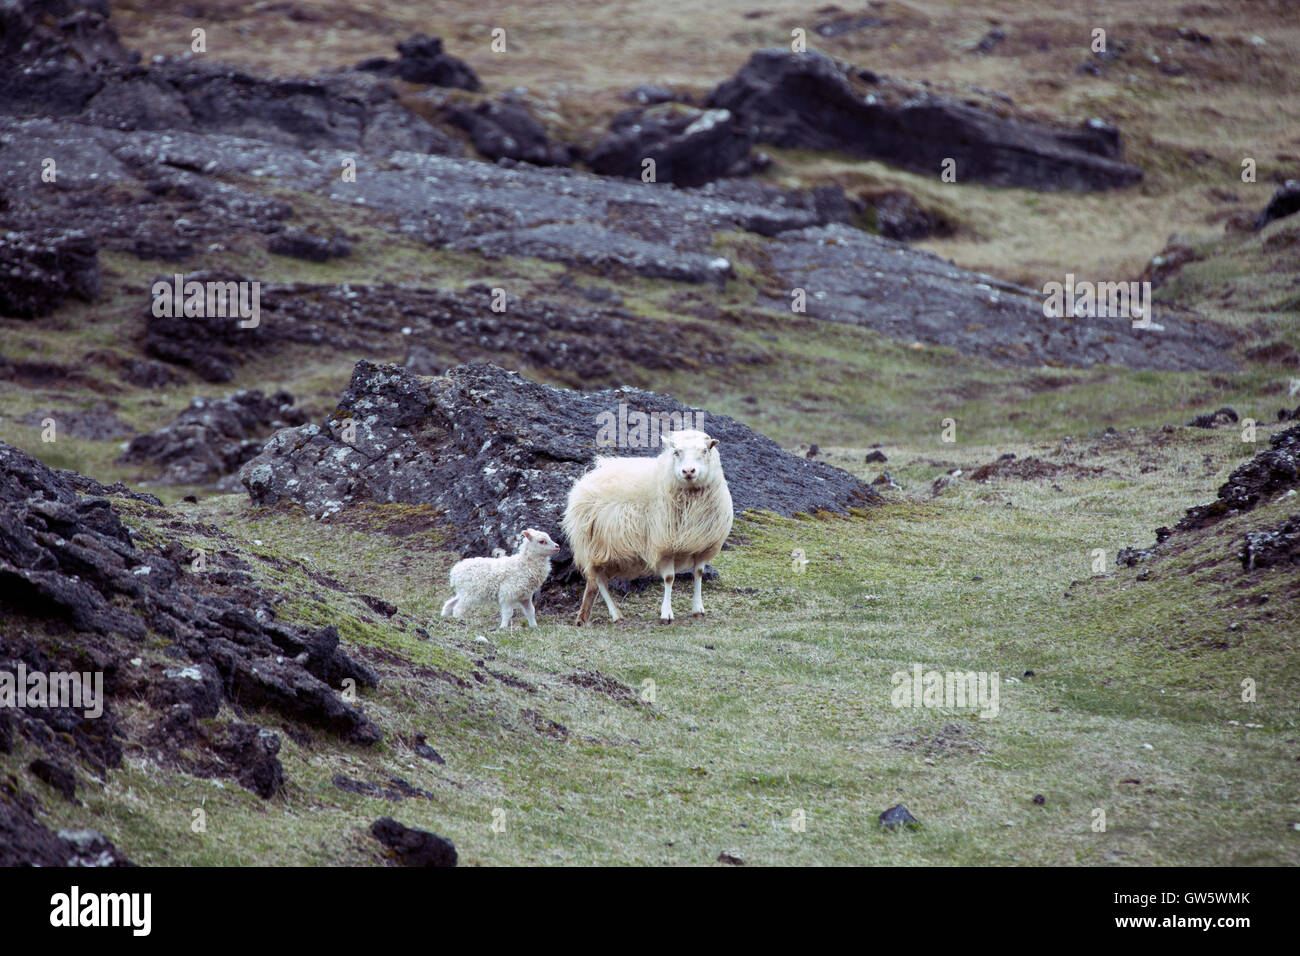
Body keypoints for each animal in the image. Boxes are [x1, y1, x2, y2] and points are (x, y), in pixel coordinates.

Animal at [564, 429, 738, 624]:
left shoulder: (701, 545)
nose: (688, 471)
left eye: (705, 450)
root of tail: (591, 474)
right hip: (594, 545)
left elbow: (698, 573)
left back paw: (587, 617)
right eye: (675, 452)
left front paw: (698, 609)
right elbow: (669, 578)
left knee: (596, 580)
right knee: (599, 580)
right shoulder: (665, 545)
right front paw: (667, 613)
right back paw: (615, 615)